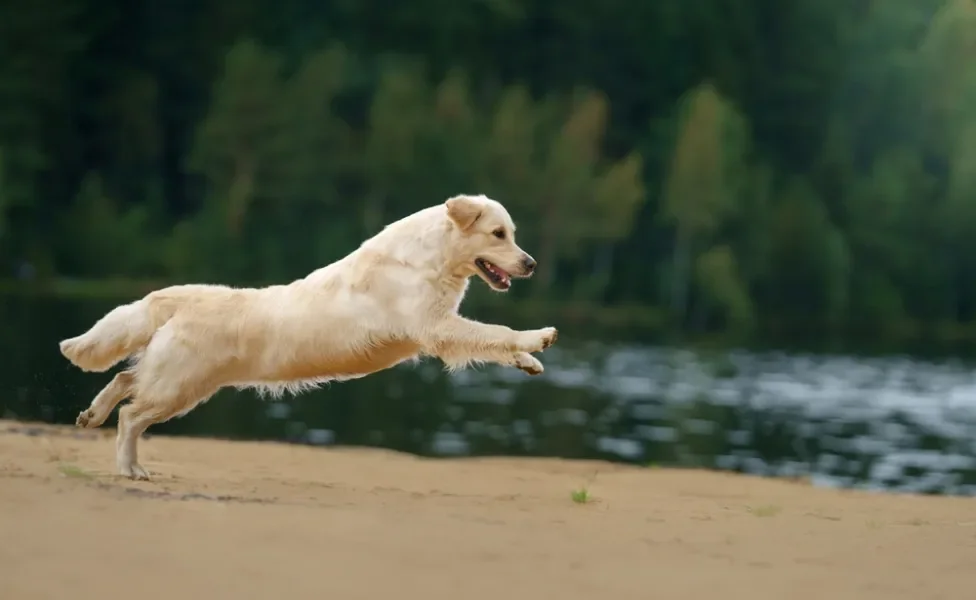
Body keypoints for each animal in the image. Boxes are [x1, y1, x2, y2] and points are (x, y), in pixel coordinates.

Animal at [61, 195, 560, 480]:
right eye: (498, 233)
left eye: (512, 234)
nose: (532, 263)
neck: (426, 259)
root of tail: (182, 295)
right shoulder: (436, 326)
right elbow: (494, 333)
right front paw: (537, 337)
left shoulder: (440, 327)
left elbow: (492, 341)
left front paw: (529, 361)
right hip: (179, 385)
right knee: (130, 415)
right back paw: (131, 469)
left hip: (179, 380)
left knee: (126, 382)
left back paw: (91, 415)